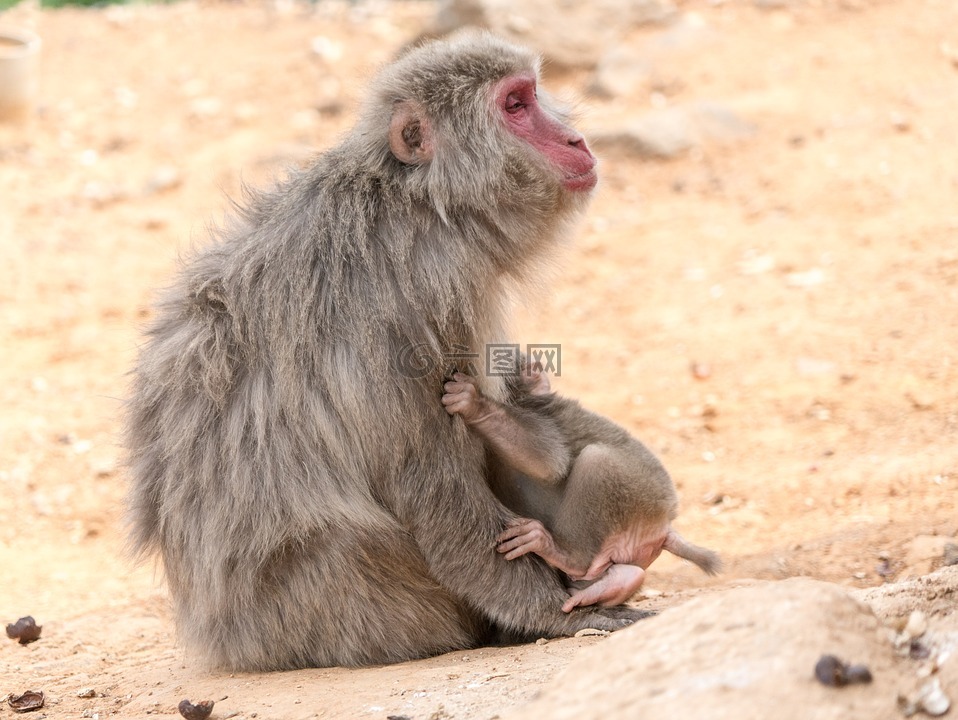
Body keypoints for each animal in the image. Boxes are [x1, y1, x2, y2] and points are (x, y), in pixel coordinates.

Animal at [124, 32, 644, 676]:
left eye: (531, 93)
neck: (418, 199)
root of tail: (231, 640)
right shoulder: (427, 294)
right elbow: (432, 479)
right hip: (366, 614)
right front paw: (553, 612)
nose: (575, 139)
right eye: (516, 105)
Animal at [442, 362, 720, 612]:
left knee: (597, 461)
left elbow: (549, 461)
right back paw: (617, 583)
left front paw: (473, 404)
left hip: (643, 494)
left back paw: (563, 554)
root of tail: (665, 526)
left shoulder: (539, 413)